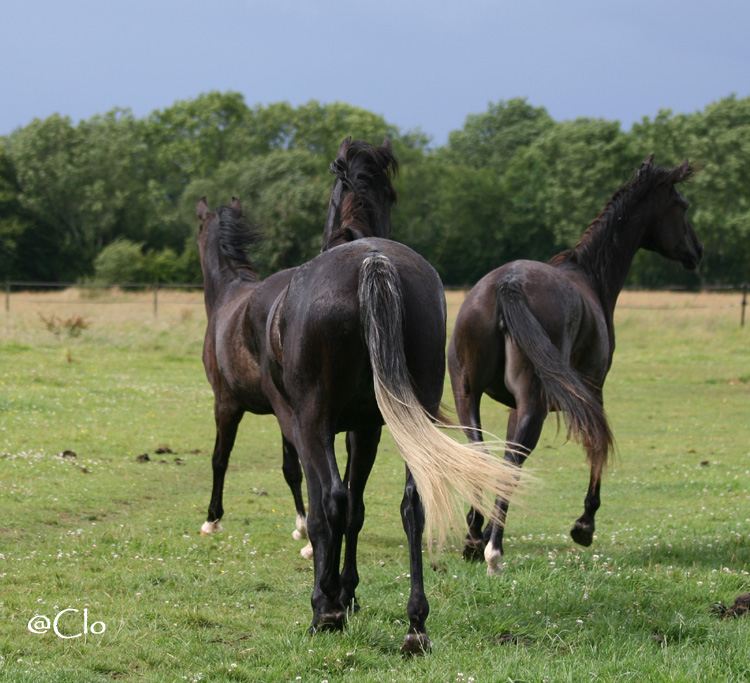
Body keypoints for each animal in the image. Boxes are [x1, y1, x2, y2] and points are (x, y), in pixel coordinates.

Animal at [450, 156, 708, 576]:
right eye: (682, 205)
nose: (697, 251)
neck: (590, 277)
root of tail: (508, 284)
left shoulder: (514, 407)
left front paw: (483, 530)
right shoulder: (593, 390)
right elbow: (596, 444)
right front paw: (584, 525)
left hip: (468, 394)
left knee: (481, 453)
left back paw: (474, 539)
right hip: (534, 405)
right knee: (514, 461)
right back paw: (494, 552)